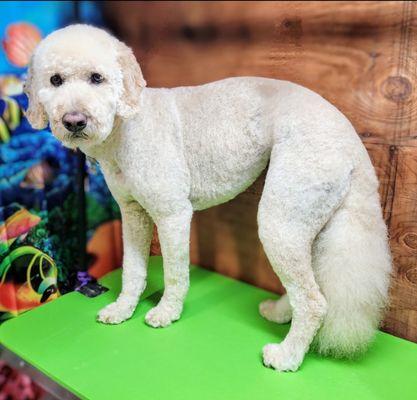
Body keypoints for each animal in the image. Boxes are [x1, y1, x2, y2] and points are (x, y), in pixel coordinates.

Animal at [25, 25, 390, 372]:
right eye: (55, 80)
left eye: (96, 78)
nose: (74, 121)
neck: (126, 126)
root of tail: (351, 139)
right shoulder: (132, 213)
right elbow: (132, 270)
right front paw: (123, 308)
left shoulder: (172, 214)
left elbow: (175, 274)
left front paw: (166, 313)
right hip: (305, 221)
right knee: (307, 286)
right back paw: (278, 313)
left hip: (282, 217)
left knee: (314, 301)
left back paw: (286, 357)